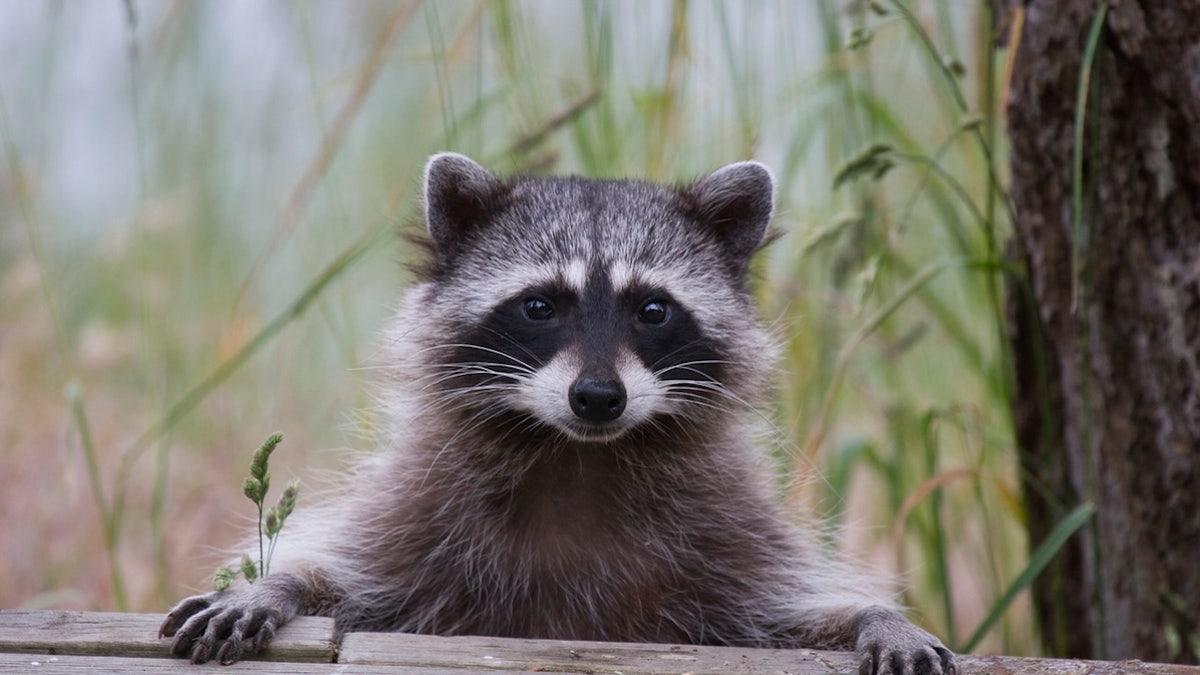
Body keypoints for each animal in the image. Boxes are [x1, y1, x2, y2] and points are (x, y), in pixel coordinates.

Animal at [159, 153, 955, 672]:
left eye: (653, 309)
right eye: (539, 306)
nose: (598, 397)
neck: (579, 454)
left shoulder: (726, 537)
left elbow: (788, 614)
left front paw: (875, 617)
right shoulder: (421, 512)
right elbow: (351, 576)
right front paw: (276, 584)